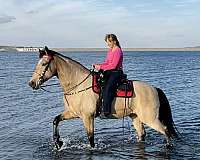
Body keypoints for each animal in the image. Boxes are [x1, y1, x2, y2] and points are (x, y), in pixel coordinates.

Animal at [27, 46, 177, 150]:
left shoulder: (87, 117)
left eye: (43, 64)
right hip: (136, 117)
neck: (77, 84)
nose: (32, 83)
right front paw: (58, 142)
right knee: (143, 134)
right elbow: (56, 120)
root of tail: (154, 89)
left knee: (166, 131)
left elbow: (91, 138)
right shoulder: (73, 113)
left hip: (150, 119)